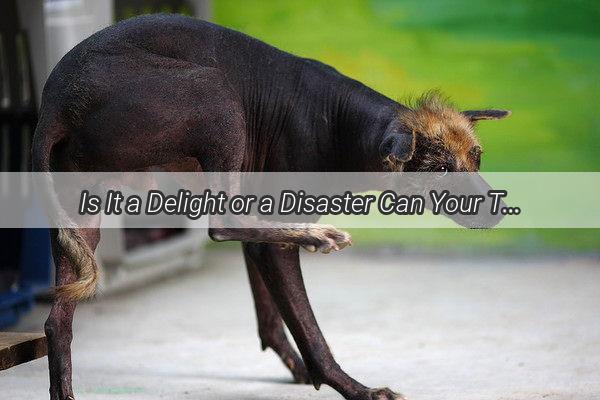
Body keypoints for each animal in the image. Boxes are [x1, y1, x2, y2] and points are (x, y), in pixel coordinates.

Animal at [31, 14, 510, 398]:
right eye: (442, 170)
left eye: (478, 158)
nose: (499, 211)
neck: (345, 123)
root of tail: (56, 99)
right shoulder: (275, 243)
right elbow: (310, 329)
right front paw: (352, 388)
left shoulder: (260, 239)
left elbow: (271, 317)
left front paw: (303, 370)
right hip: (216, 96)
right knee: (221, 224)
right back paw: (320, 237)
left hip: (82, 217)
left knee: (57, 322)